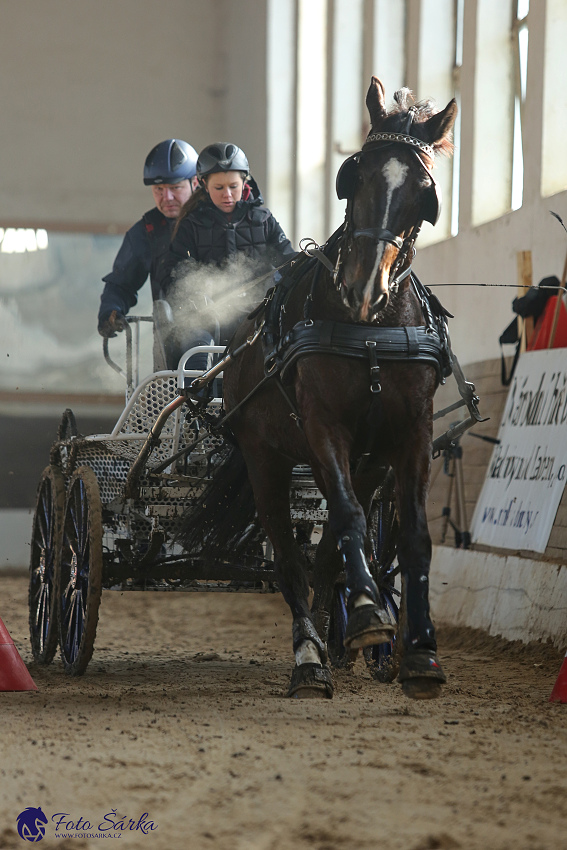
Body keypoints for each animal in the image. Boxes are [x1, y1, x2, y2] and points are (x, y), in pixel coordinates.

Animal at [182, 79, 458, 700]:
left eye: (424, 191)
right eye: (355, 174)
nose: (364, 287)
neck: (372, 329)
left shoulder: (408, 434)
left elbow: (412, 537)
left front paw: (417, 650)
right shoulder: (322, 427)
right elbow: (350, 521)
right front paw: (366, 616)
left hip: (363, 462)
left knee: (328, 547)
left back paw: (347, 630)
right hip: (267, 457)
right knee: (289, 558)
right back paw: (310, 655)